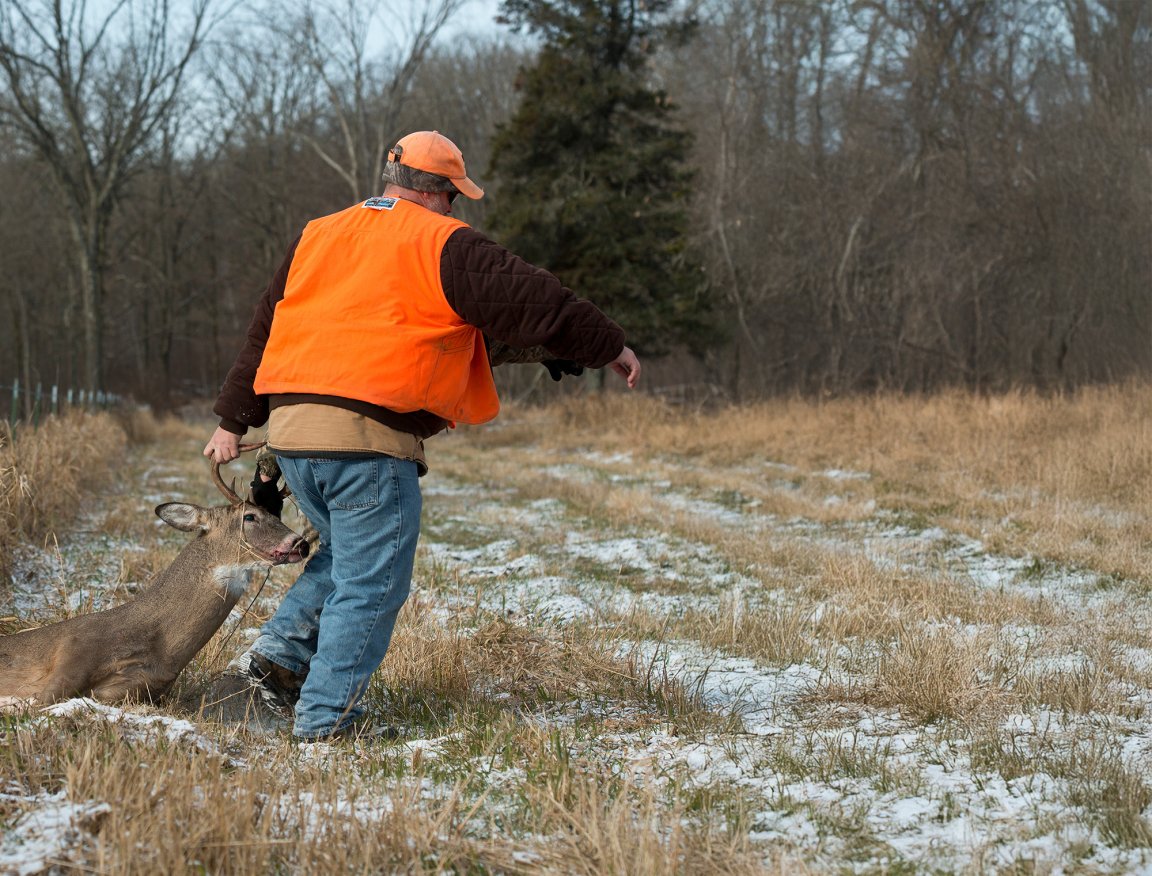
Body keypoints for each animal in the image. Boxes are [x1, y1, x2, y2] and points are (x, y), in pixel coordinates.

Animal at [0, 452, 308, 708]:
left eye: (276, 514)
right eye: (250, 517)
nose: (301, 543)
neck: (163, 649)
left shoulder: (140, 690)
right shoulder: (73, 652)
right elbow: (39, 701)